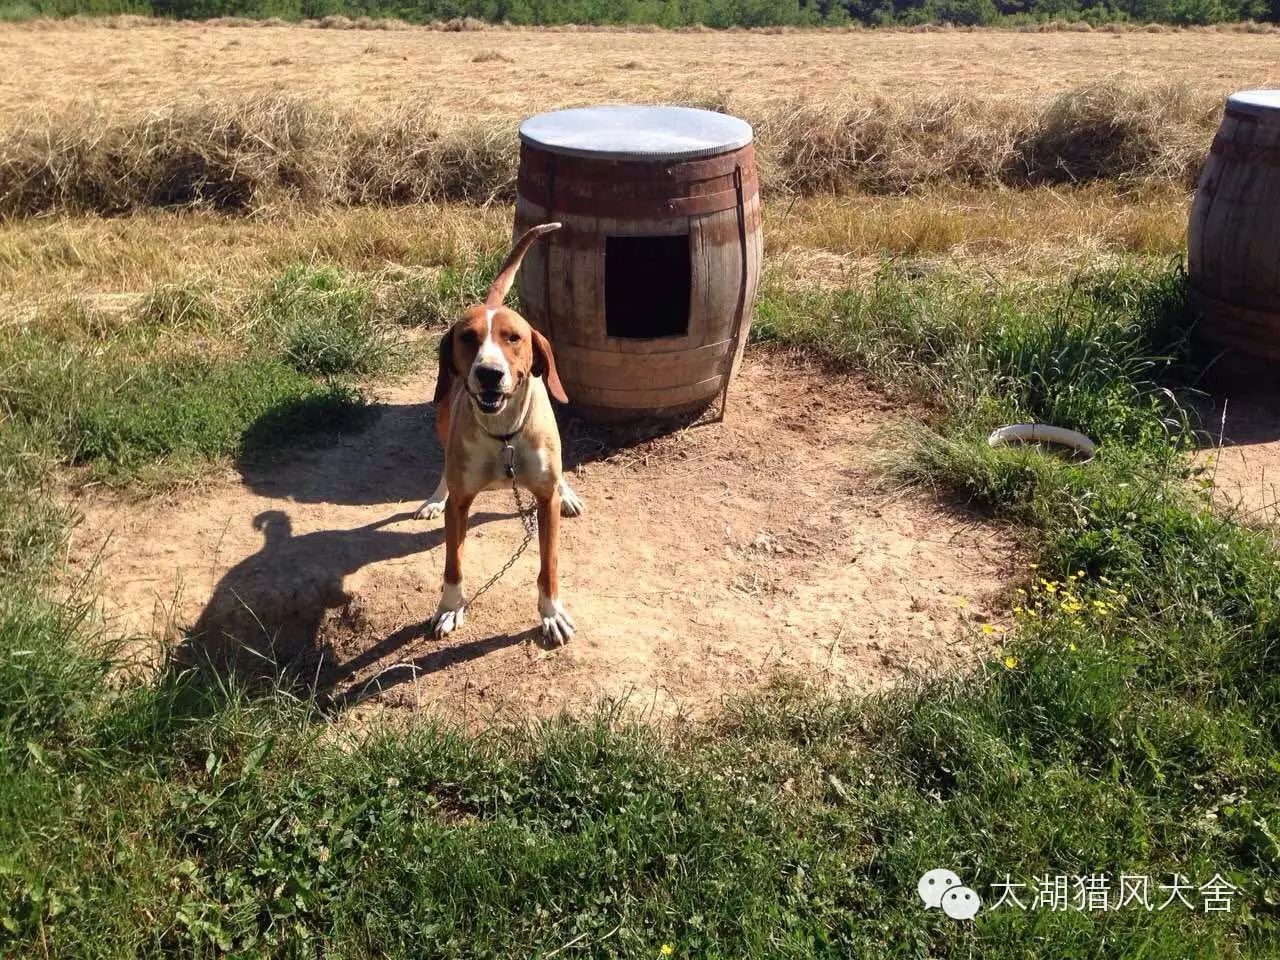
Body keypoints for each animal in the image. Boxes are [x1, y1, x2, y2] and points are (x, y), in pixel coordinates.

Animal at [417, 224, 583, 647]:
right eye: (468, 338)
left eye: (513, 338)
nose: (489, 373)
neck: (503, 436)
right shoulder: (461, 505)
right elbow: (453, 564)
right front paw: (450, 607)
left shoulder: (543, 502)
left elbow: (548, 565)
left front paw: (551, 614)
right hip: (443, 416)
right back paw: (434, 497)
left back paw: (568, 493)